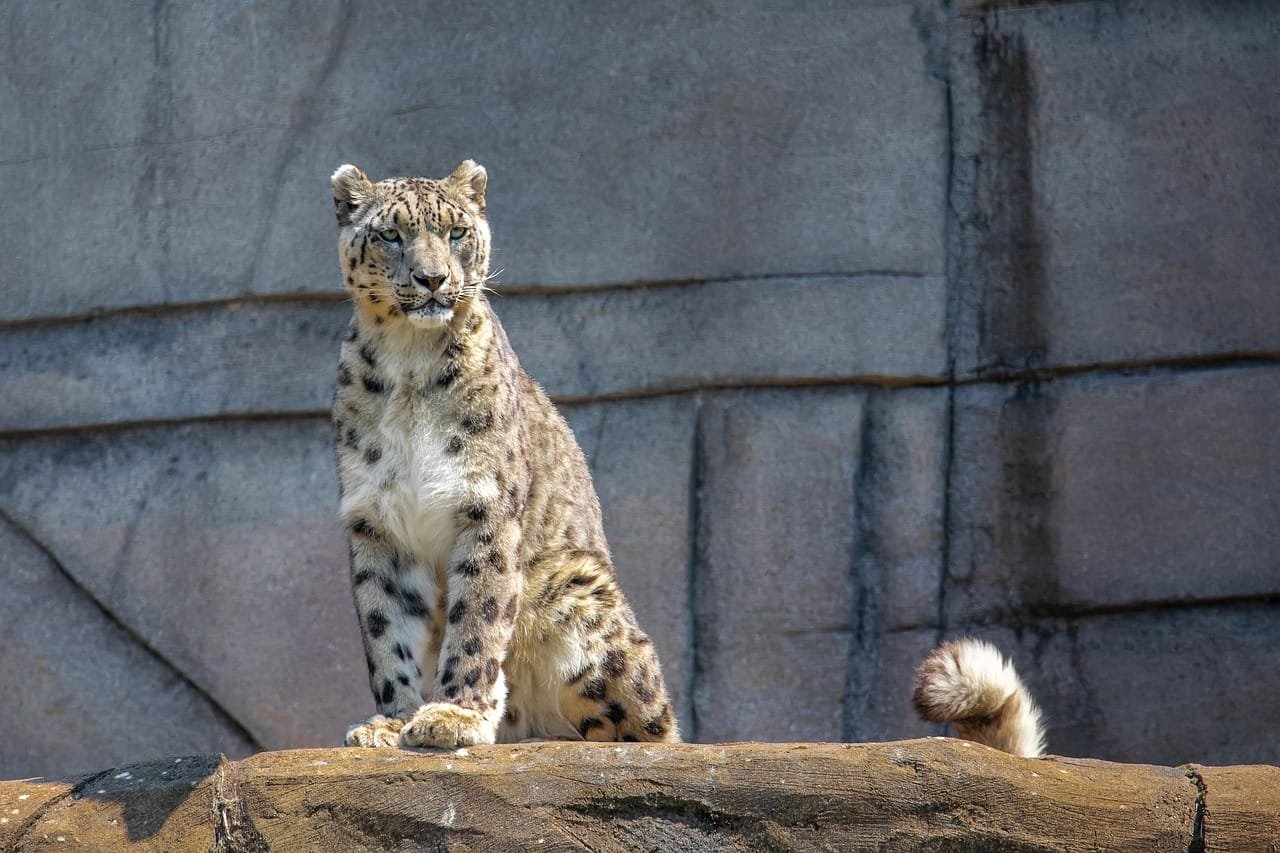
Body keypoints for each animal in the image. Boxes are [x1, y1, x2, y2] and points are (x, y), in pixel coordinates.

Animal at [329, 160, 677, 749]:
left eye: (456, 232)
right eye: (391, 234)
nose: (432, 279)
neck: (408, 361)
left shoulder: (485, 503)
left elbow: (479, 613)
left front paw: (455, 715)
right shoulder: (375, 518)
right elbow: (385, 626)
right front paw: (391, 721)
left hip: (578, 592)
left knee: (654, 727)